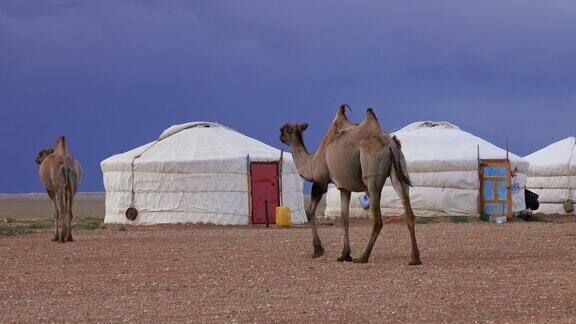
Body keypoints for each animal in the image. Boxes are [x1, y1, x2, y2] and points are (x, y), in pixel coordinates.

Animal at [280, 105, 420, 264]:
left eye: (283, 129)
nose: (280, 137)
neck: (312, 163)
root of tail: (390, 144)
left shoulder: (320, 182)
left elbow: (310, 212)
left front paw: (318, 250)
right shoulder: (344, 188)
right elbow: (344, 218)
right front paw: (345, 255)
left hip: (371, 174)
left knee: (377, 219)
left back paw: (363, 257)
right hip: (400, 169)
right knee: (408, 210)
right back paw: (415, 258)